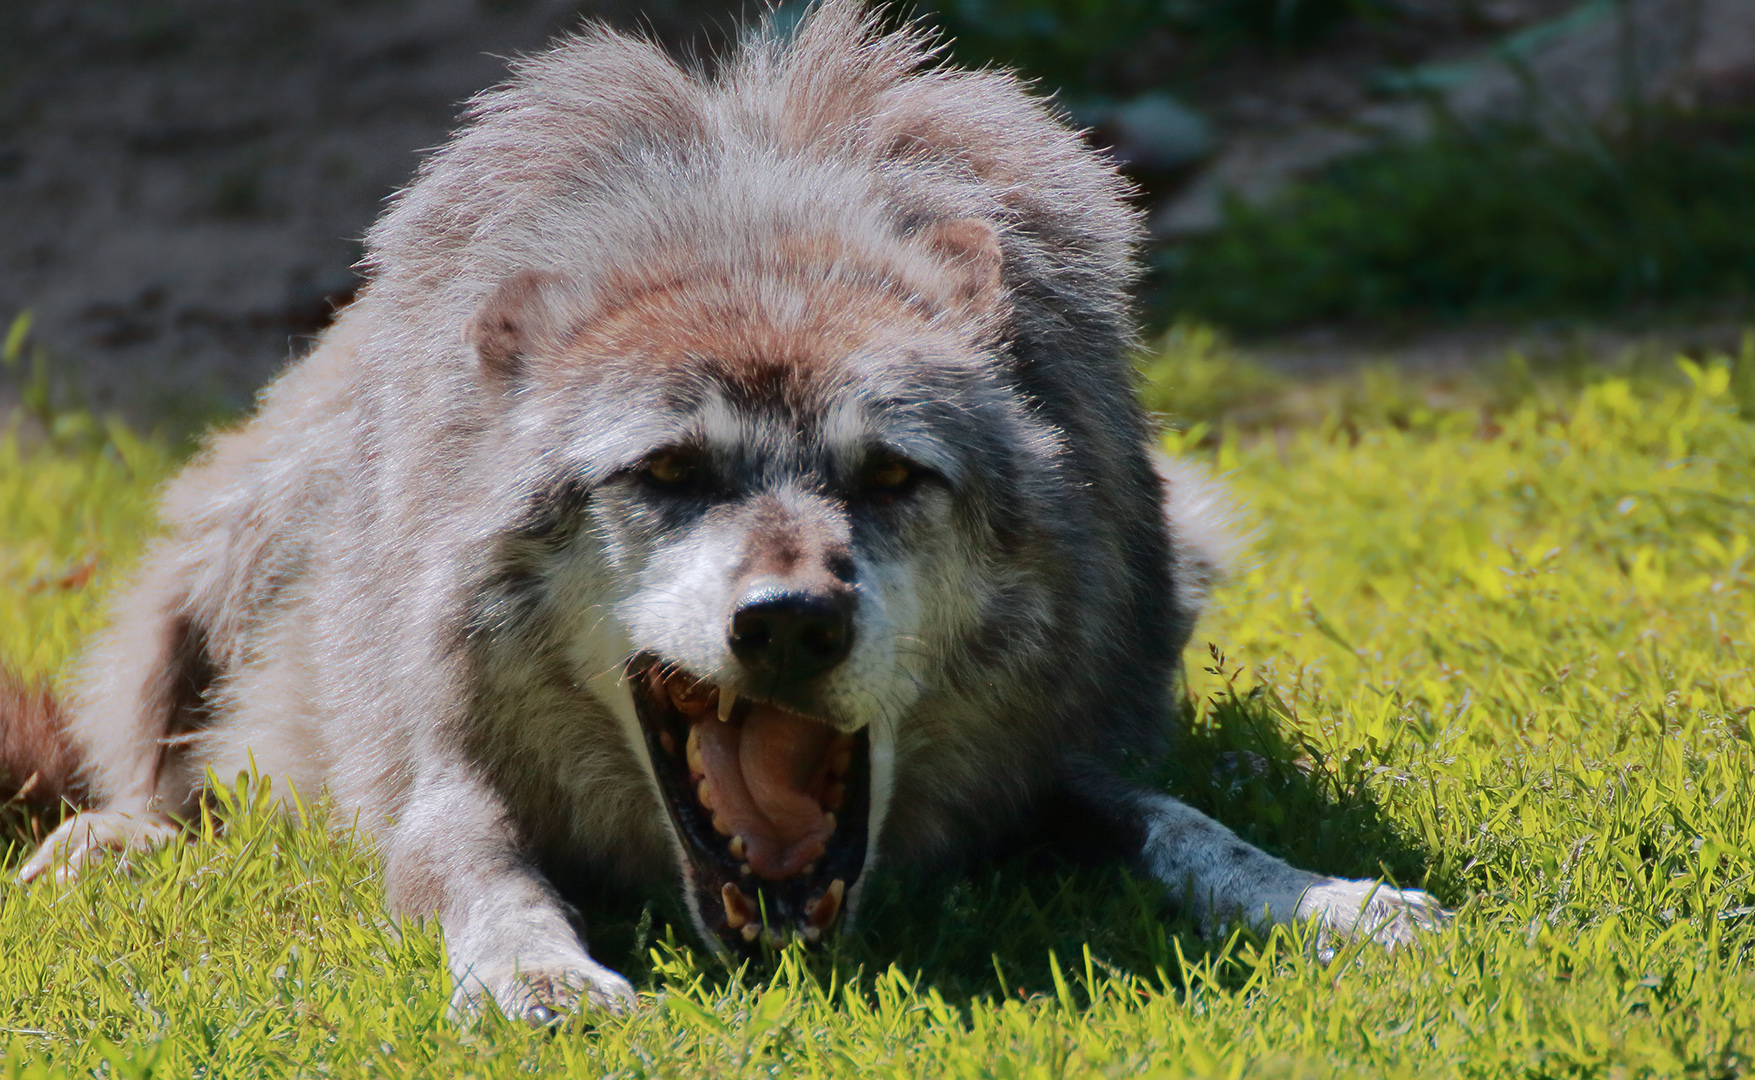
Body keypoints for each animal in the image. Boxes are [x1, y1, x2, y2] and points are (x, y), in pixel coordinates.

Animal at [3, 2, 1439, 1025]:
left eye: (891, 477)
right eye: (668, 474)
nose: (790, 622)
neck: (760, 242)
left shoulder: (1051, 757)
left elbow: (1178, 824)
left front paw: (1329, 898)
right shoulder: (438, 761)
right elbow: (473, 864)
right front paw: (535, 975)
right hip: (224, 565)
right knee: (149, 760)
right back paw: (110, 845)